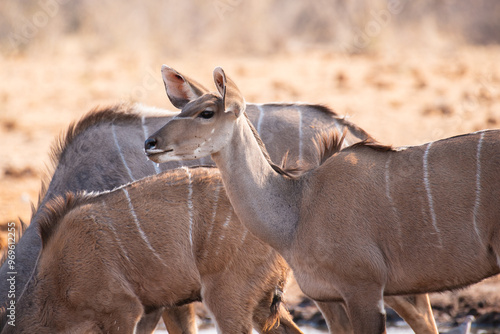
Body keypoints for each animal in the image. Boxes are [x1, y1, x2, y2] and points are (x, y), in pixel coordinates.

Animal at [146, 64, 500, 332]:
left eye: (206, 113)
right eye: (184, 109)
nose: (151, 143)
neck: (299, 206)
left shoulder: (364, 290)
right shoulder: (336, 297)